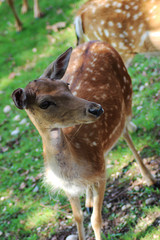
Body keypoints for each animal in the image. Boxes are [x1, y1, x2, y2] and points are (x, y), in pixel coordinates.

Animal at [11, 41, 158, 240]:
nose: (96, 109)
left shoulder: (102, 174)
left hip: (127, 96)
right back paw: (88, 202)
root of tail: (94, 41)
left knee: (126, 133)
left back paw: (150, 178)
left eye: (66, 85)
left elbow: (96, 220)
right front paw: (84, 210)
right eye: (44, 103)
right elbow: (77, 217)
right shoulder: (68, 188)